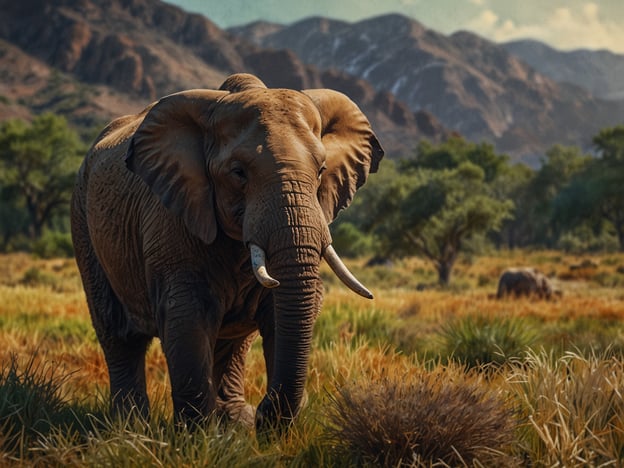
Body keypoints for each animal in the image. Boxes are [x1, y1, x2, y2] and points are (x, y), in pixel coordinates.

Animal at [70, 72, 382, 436]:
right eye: (238, 173)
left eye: (320, 170)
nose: (264, 412)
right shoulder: (171, 220)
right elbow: (187, 315)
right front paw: (197, 436)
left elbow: (280, 311)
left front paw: (251, 427)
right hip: (83, 219)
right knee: (117, 332)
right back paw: (128, 426)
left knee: (232, 340)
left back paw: (233, 419)